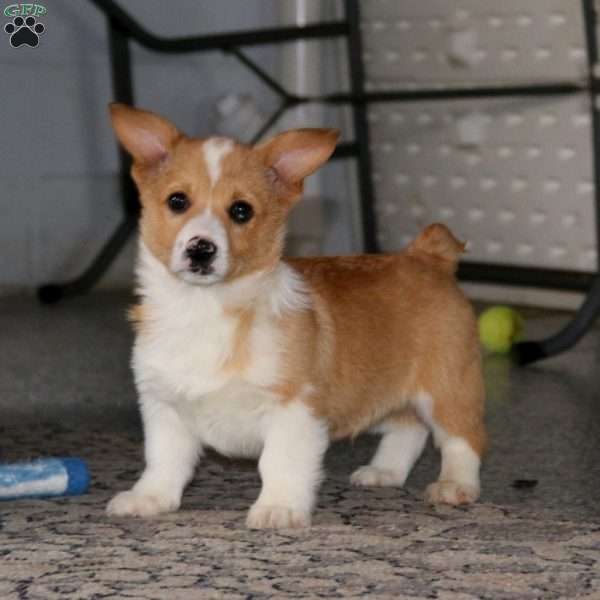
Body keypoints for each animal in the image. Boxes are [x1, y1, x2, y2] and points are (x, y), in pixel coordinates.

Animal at [105, 104, 486, 528]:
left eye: (241, 210)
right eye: (177, 201)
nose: (200, 249)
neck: (205, 308)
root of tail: (428, 257)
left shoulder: (294, 408)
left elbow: (279, 462)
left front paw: (279, 507)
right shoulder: (164, 408)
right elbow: (163, 462)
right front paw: (149, 499)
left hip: (447, 387)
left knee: (462, 437)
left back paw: (455, 485)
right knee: (409, 428)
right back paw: (384, 472)